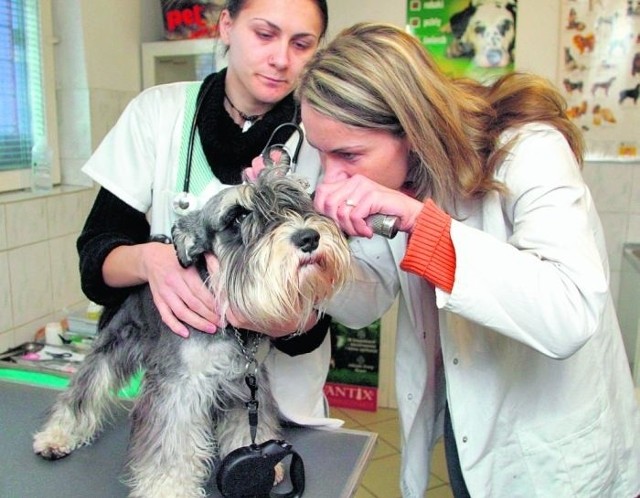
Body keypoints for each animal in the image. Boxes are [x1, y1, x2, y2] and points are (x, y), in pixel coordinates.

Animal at [31, 169, 350, 496]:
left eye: (295, 201)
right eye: (237, 217)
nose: (309, 237)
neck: (228, 325)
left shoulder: (245, 383)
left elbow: (248, 427)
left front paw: (263, 465)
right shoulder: (178, 388)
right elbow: (171, 443)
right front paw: (167, 487)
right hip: (114, 344)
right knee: (85, 388)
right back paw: (56, 436)